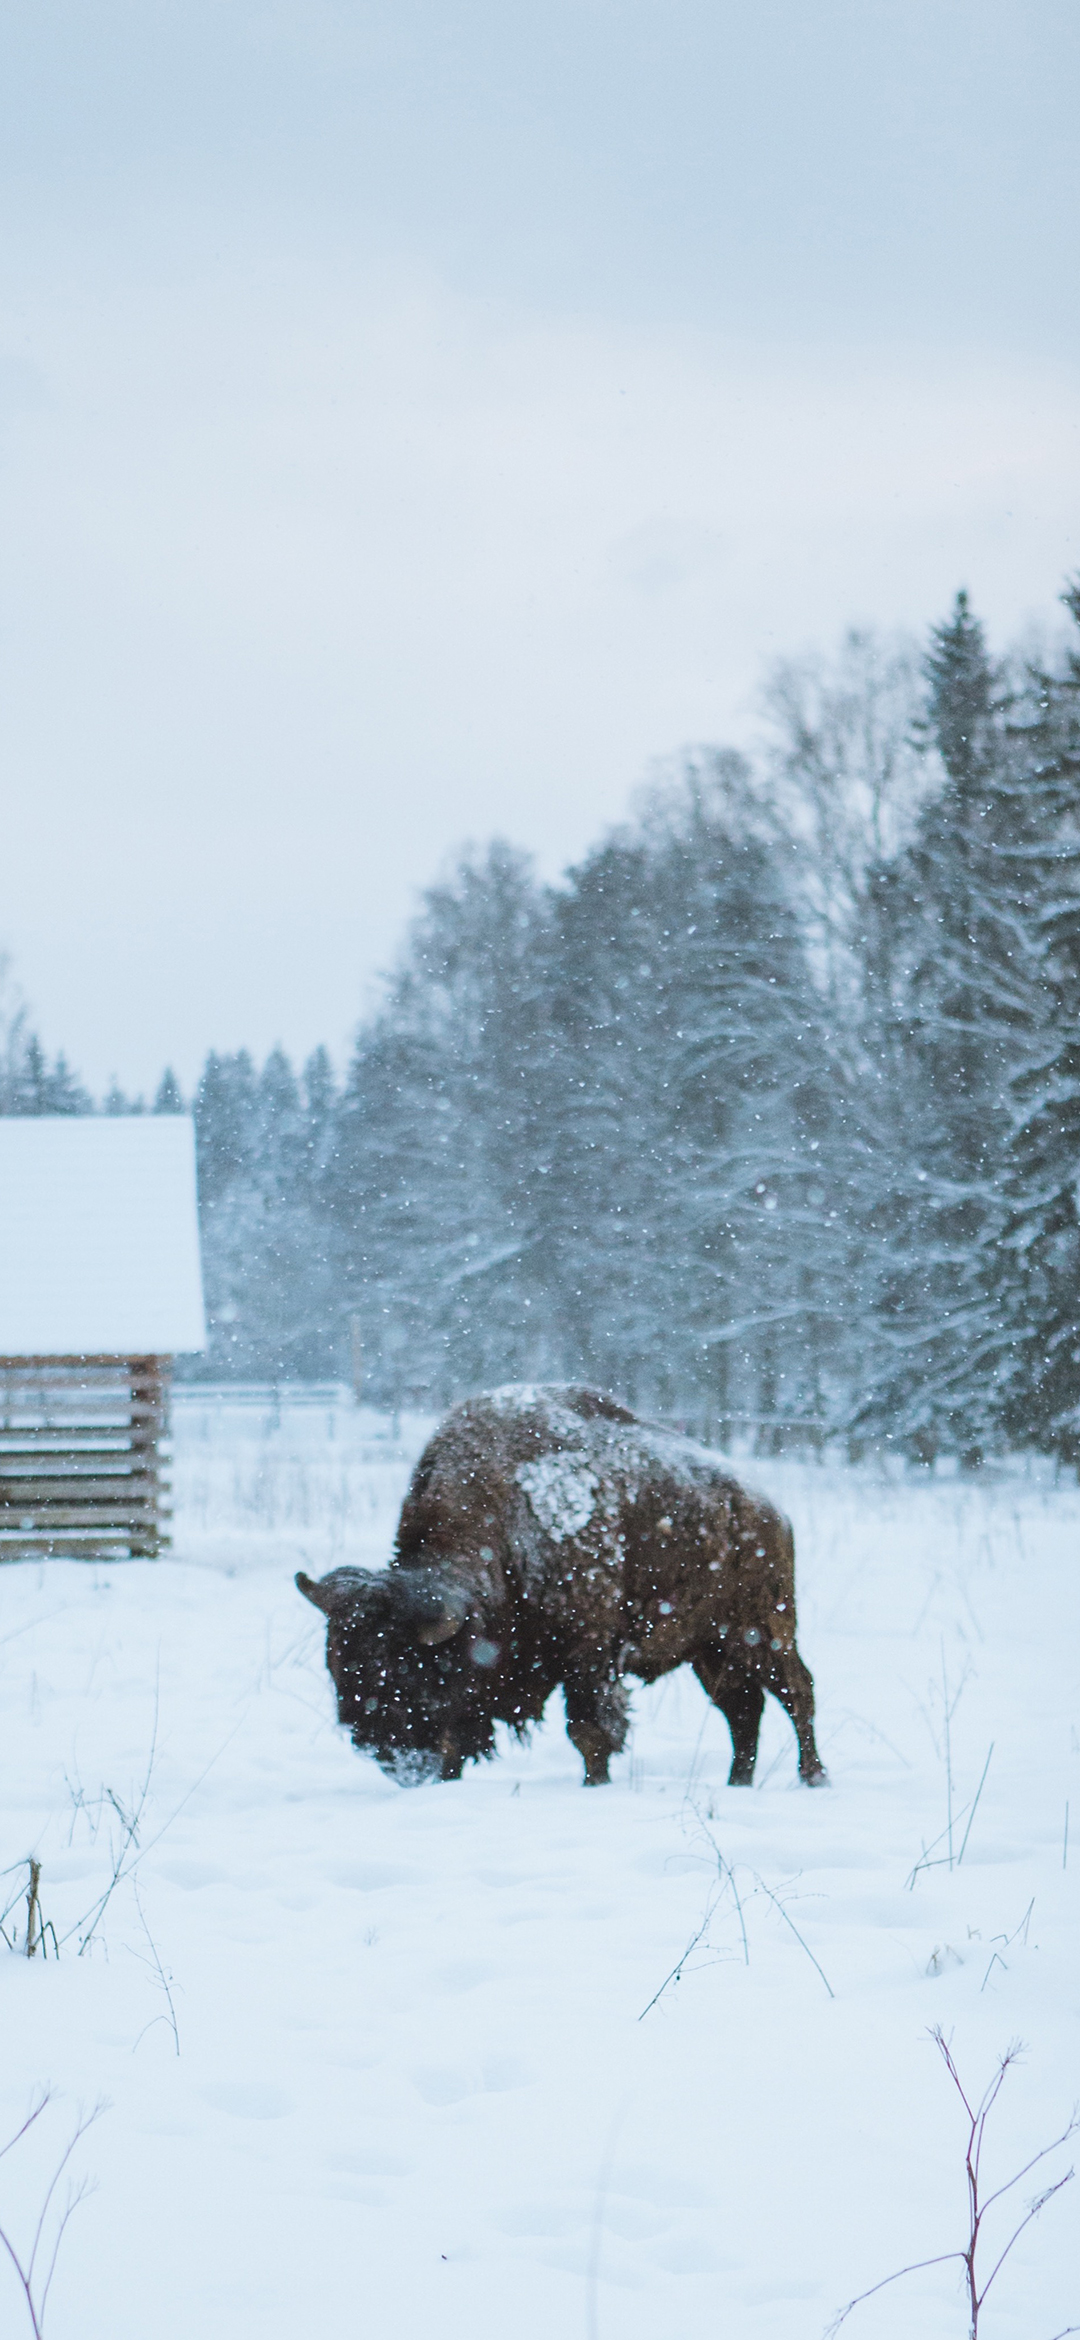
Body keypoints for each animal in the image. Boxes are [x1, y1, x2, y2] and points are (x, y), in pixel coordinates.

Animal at [296, 1385, 827, 1787]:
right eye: (336, 1665)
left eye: (405, 1668)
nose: (381, 1752)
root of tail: (773, 1512)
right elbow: (462, 1736)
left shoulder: (588, 1653)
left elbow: (588, 1730)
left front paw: (596, 1784)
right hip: (708, 1650)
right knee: (742, 1709)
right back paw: (738, 1782)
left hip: (761, 1633)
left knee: (796, 1693)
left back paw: (812, 1777)